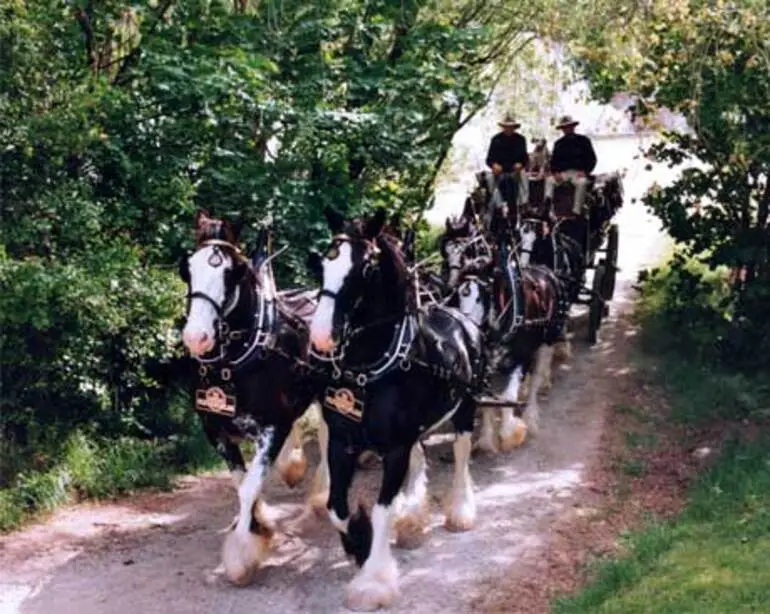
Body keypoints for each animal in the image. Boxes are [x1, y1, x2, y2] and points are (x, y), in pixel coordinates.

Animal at [304, 209, 480, 612]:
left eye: (363, 269)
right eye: (324, 264)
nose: (319, 336)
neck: (372, 368)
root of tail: (458, 316)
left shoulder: (395, 449)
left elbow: (383, 507)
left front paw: (373, 581)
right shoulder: (342, 441)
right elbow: (337, 506)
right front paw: (359, 541)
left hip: (466, 408)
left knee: (462, 453)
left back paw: (460, 511)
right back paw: (413, 517)